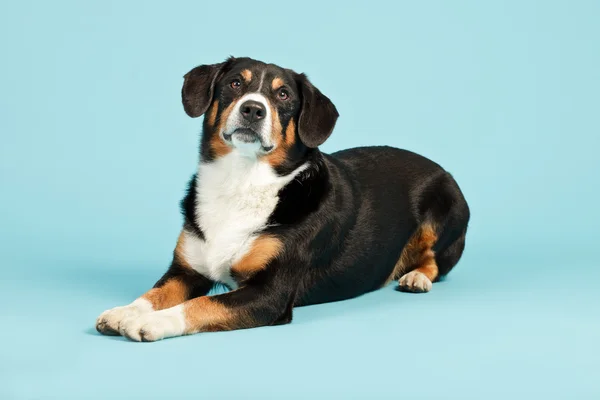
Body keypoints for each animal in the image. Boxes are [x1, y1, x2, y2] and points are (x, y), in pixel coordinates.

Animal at [95, 57, 468, 342]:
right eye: (234, 83)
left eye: (284, 94)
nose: (252, 110)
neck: (241, 182)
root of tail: (440, 168)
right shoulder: (186, 271)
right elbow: (154, 294)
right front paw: (124, 312)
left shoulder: (270, 294)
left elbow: (199, 305)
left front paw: (152, 322)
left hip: (444, 210)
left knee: (436, 262)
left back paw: (417, 277)